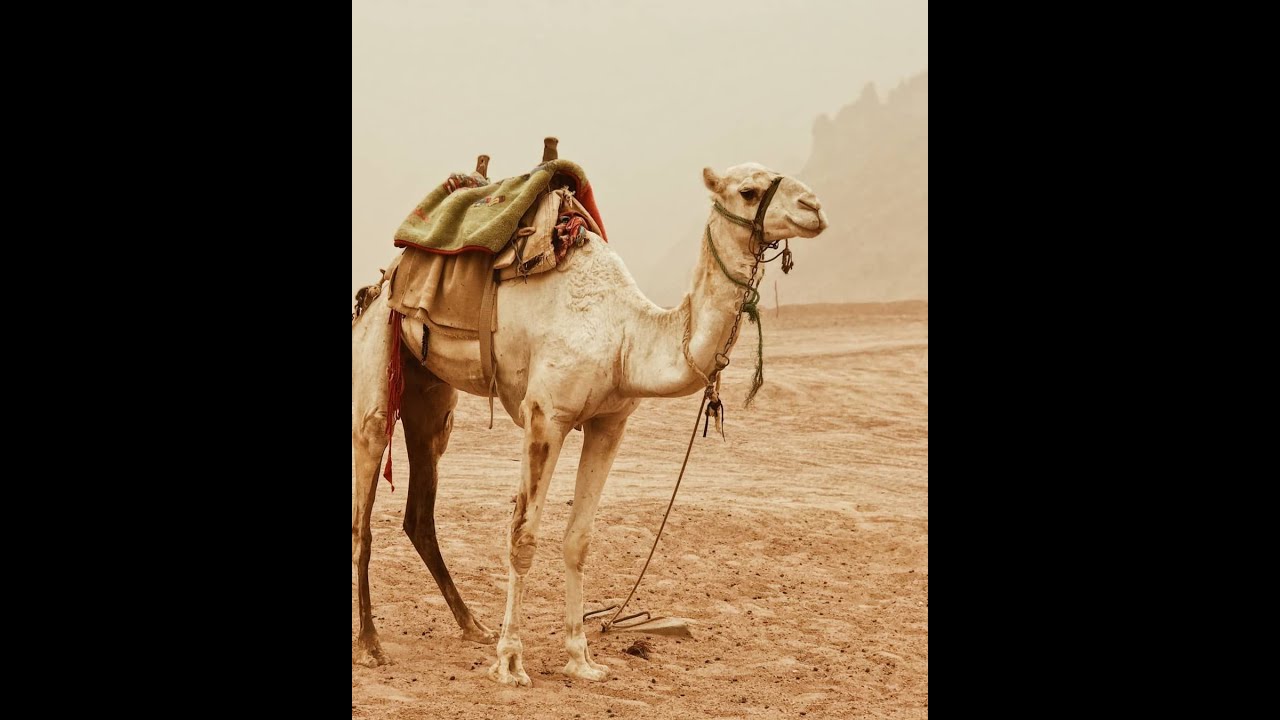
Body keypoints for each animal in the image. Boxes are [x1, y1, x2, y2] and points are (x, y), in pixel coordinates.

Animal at [351, 161, 828, 685]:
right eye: (748, 191)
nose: (814, 208)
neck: (625, 337)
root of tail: (384, 279)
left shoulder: (609, 423)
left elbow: (578, 539)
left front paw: (581, 658)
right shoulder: (546, 415)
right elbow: (522, 537)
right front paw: (510, 662)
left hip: (431, 394)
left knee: (420, 506)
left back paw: (471, 624)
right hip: (378, 352)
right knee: (364, 506)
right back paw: (372, 644)